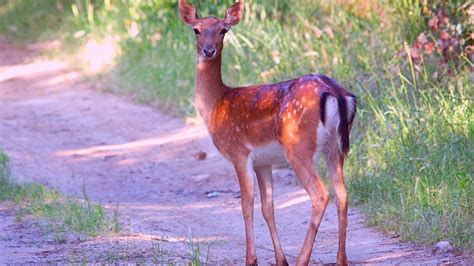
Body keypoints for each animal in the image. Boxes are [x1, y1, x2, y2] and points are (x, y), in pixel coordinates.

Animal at [180, 1, 358, 264]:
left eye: (223, 30)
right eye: (196, 30)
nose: (208, 50)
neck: (216, 105)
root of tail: (335, 92)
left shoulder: (239, 152)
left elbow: (246, 204)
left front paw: (251, 259)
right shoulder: (263, 162)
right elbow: (267, 207)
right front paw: (280, 260)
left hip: (297, 144)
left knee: (320, 194)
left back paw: (302, 259)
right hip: (335, 149)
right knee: (343, 194)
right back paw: (340, 260)